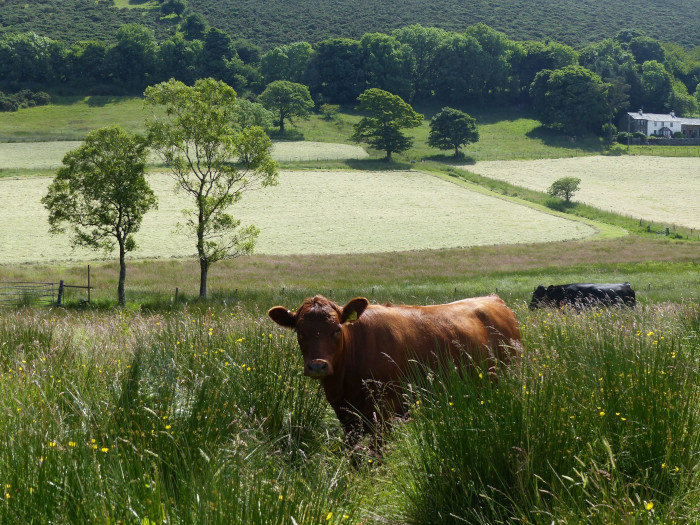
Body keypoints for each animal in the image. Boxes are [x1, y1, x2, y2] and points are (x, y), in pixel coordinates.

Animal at [268, 294, 520, 438]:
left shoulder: (384, 410)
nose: (318, 366)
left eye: (337, 330)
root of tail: (494, 299)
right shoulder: (346, 415)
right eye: (300, 332)